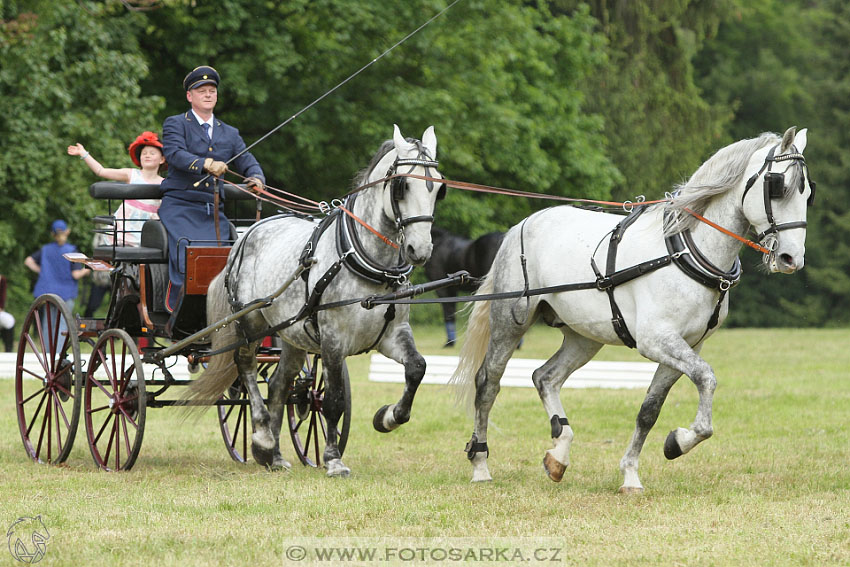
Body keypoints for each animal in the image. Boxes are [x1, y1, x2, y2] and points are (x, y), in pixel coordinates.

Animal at [189, 126, 444, 478]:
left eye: (439, 188)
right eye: (402, 185)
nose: (420, 250)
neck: (367, 261)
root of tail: (245, 236)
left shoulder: (393, 335)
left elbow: (417, 369)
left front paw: (387, 417)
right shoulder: (333, 340)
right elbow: (334, 400)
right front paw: (334, 459)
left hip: (292, 334)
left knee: (279, 385)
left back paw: (276, 455)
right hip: (249, 323)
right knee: (247, 368)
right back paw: (262, 439)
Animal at [450, 127, 816, 492]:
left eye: (808, 194)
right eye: (778, 186)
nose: (791, 259)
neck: (686, 251)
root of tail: (522, 225)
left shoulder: (687, 345)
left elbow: (649, 410)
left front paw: (635, 471)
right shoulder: (656, 340)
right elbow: (706, 378)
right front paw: (680, 440)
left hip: (584, 336)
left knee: (545, 377)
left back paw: (559, 455)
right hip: (510, 323)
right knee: (488, 382)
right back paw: (480, 465)